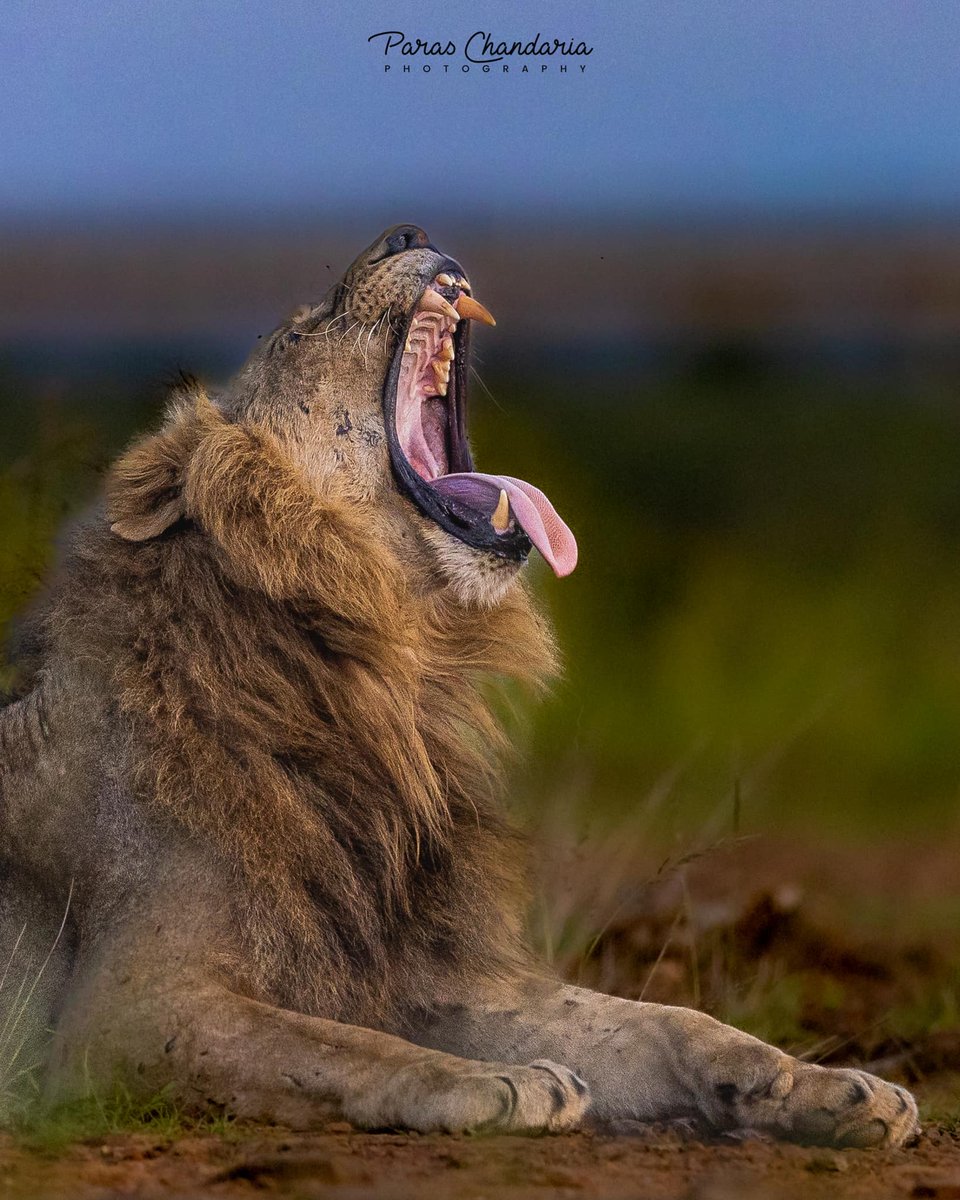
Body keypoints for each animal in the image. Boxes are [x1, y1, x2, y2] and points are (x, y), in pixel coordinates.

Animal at [0, 225, 918, 1146]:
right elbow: (342, 1048)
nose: (404, 233)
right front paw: (504, 1083)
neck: (394, 674)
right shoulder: (124, 1014)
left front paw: (827, 1085)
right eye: (297, 335)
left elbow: (662, 1022)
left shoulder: (429, 969)